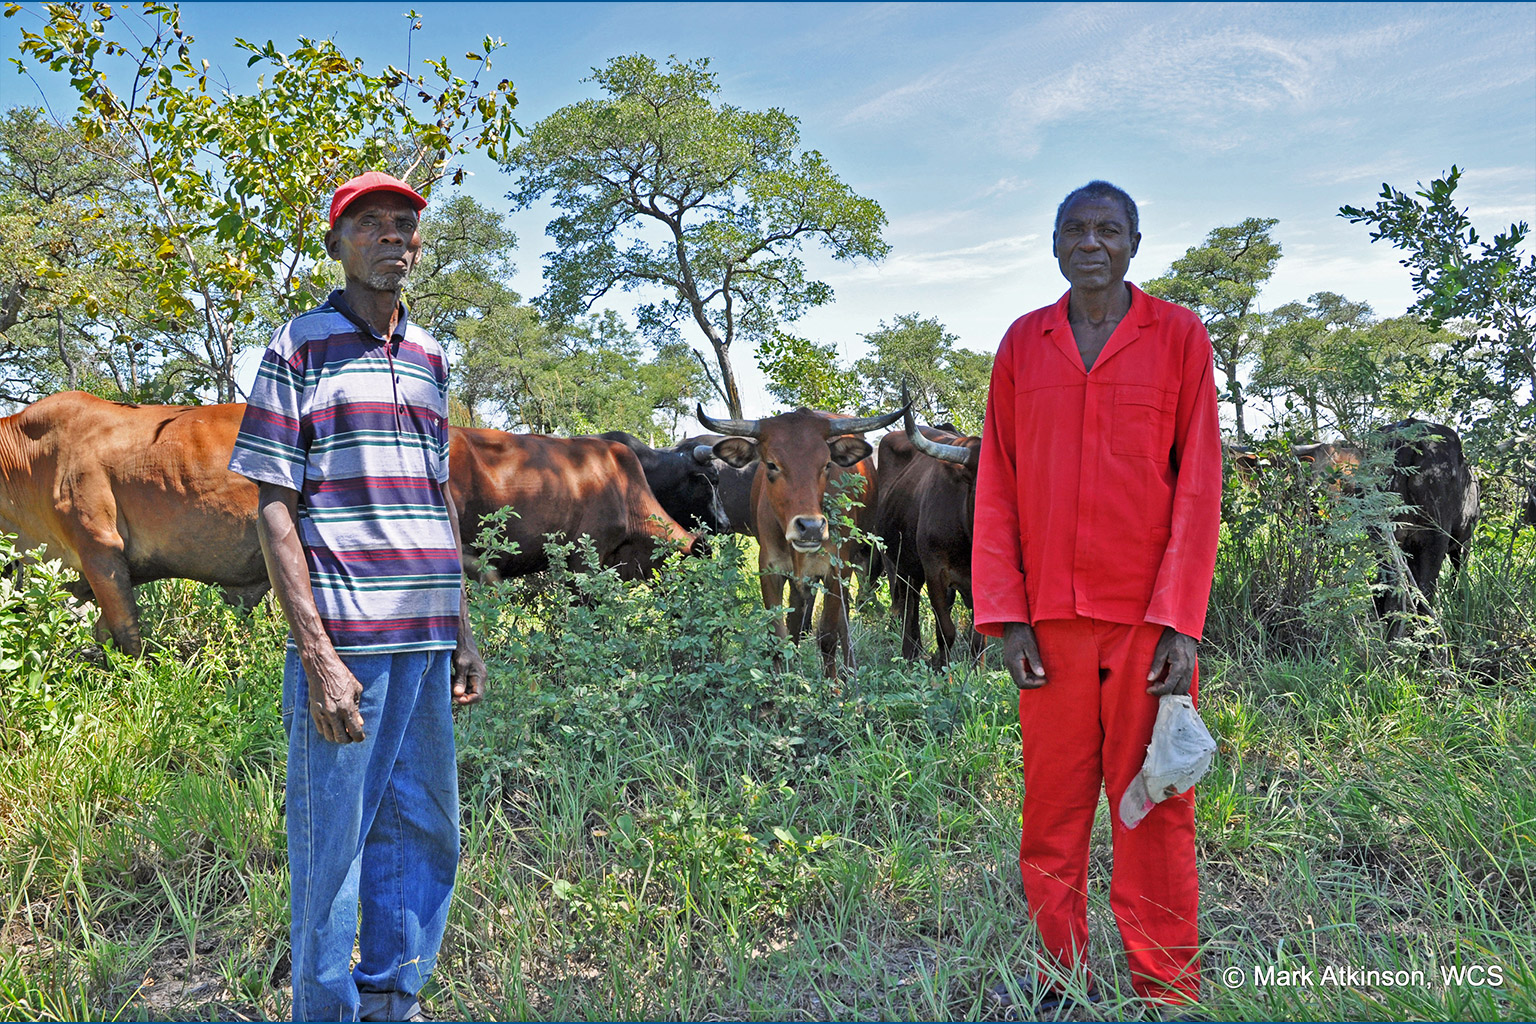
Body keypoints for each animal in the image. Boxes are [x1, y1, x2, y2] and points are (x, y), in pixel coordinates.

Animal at [697, 405, 897, 675]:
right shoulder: (770, 569)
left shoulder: (836, 569)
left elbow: (828, 635)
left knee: (843, 620)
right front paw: (784, 681)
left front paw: (834, 685)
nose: (810, 528)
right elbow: (780, 637)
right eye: (771, 464)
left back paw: (850, 670)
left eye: (826, 464)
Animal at [878, 408, 983, 672]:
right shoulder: (935, 571)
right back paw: (910, 654)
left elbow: (978, 635)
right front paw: (944, 670)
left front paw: (979, 670)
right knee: (908, 603)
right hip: (898, 564)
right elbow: (946, 630)